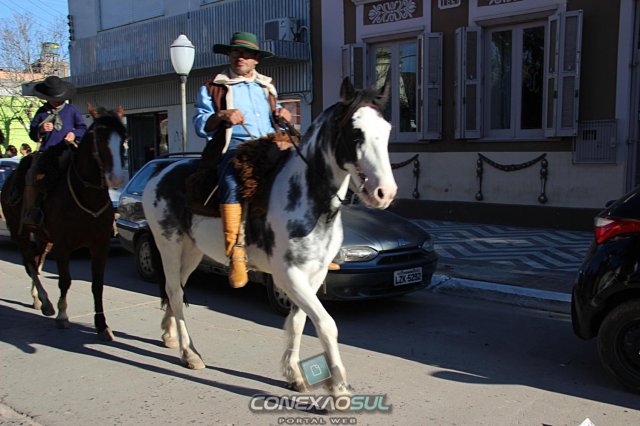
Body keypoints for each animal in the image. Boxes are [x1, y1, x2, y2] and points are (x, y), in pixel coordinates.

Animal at [0, 105, 128, 341]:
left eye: (124, 137)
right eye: (99, 138)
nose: (116, 178)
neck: (86, 196)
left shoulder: (100, 245)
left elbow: (97, 285)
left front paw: (102, 326)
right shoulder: (63, 245)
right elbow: (65, 280)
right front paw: (62, 315)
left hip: (43, 237)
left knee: (37, 261)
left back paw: (38, 299)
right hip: (20, 232)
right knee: (29, 264)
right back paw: (47, 303)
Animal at [142, 78, 396, 397]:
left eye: (386, 130)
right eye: (355, 132)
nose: (385, 193)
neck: (310, 200)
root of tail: (158, 172)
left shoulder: (314, 274)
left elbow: (298, 320)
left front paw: (294, 375)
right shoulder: (289, 274)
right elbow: (326, 323)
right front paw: (339, 388)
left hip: (191, 252)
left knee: (175, 288)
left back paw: (169, 335)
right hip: (169, 246)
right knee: (175, 293)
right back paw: (190, 354)